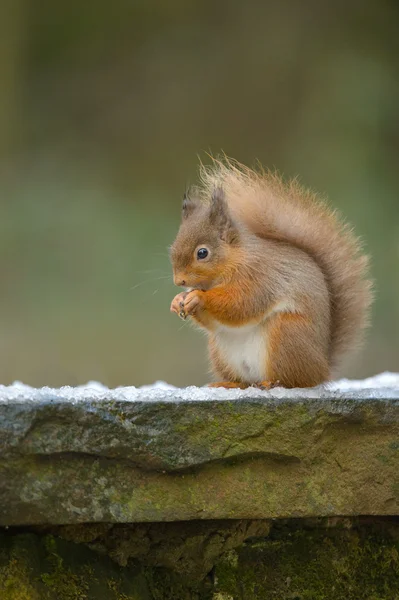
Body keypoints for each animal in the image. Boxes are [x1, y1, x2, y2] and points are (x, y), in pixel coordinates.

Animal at [169, 158, 372, 390]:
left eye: (202, 253)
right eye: (172, 247)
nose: (179, 281)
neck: (234, 259)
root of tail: (322, 369)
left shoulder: (259, 277)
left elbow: (241, 304)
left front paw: (198, 297)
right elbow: (215, 321)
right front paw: (178, 300)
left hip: (286, 335)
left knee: (294, 380)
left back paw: (271, 383)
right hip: (221, 350)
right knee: (245, 381)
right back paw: (229, 384)